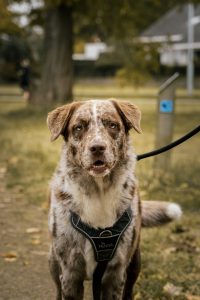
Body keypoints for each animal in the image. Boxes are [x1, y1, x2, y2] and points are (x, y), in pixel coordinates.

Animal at [47, 99, 181, 298]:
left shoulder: (115, 274)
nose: (97, 148)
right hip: (54, 264)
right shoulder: (70, 275)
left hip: (135, 263)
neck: (99, 192)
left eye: (112, 125)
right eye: (78, 127)